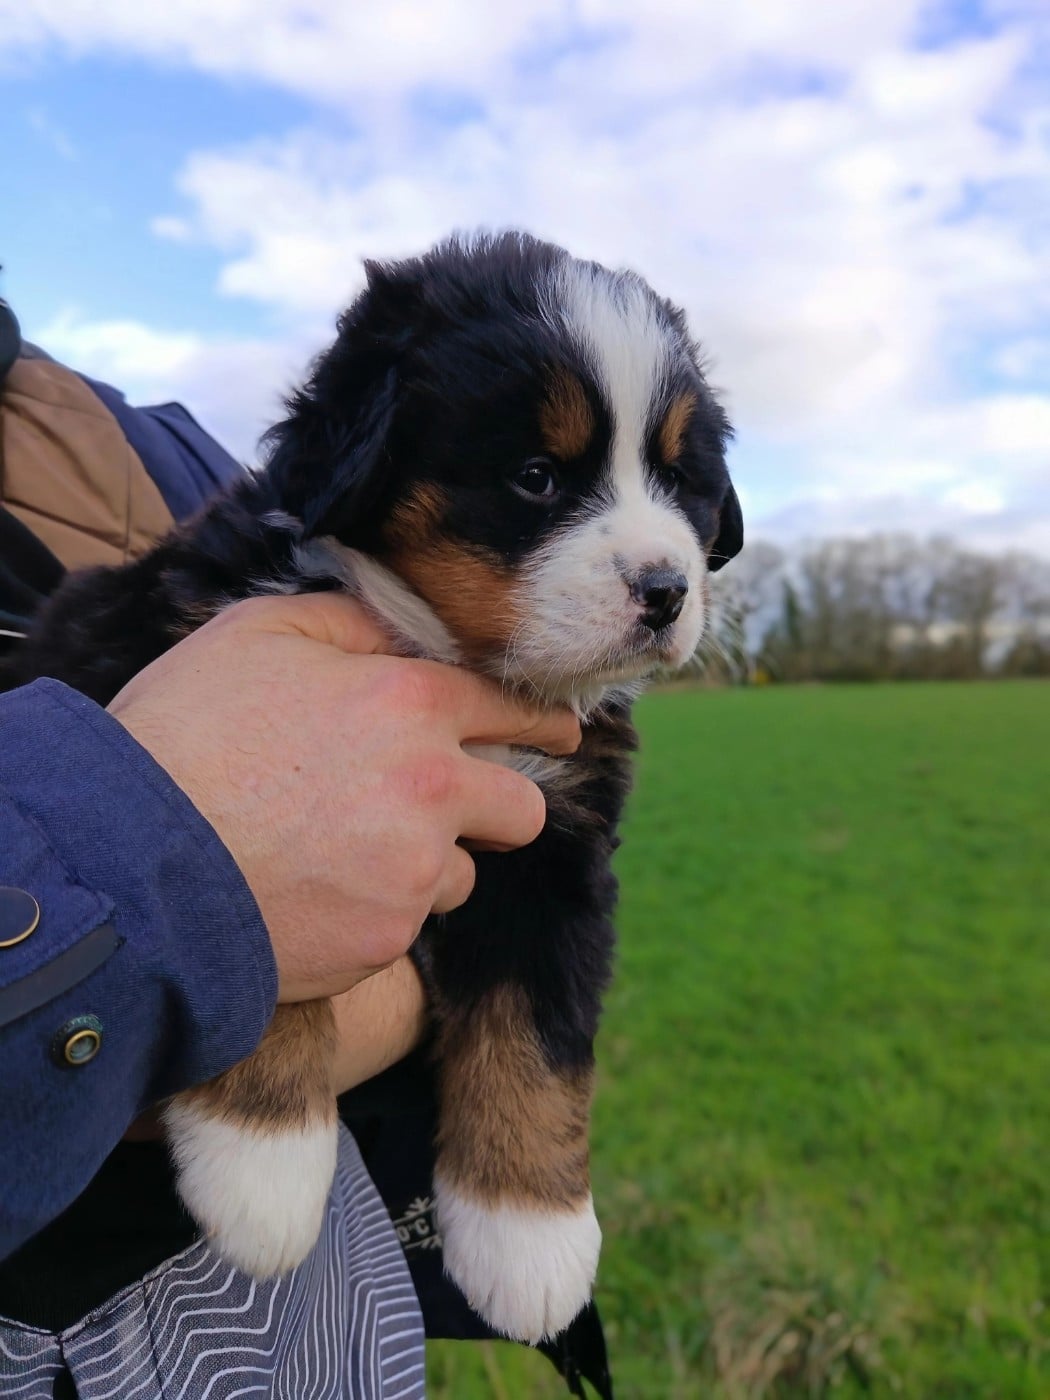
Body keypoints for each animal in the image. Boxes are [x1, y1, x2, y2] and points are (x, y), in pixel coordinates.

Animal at [10, 233, 742, 1344]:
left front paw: (530, 1238)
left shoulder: (558, 835)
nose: (665, 590)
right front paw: (263, 1162)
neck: (444, 653)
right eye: (535, 477)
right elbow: (266, 939)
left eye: (677, 479)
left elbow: (537, 1030)